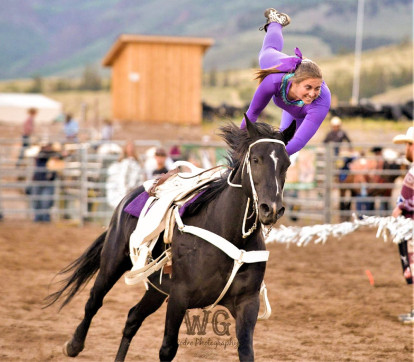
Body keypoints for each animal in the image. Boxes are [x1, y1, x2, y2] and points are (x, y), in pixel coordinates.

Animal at [46, 116, 294, 362]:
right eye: (255, 159)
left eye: (287, 164)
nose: (271, 209)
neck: (231, 236)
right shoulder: (179, 297)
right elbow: (167, 349)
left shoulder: (247, 303)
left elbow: (246, 350)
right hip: (112, 263)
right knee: (94, 301)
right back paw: (74, 345)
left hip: (156, 289)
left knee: (132, 318)